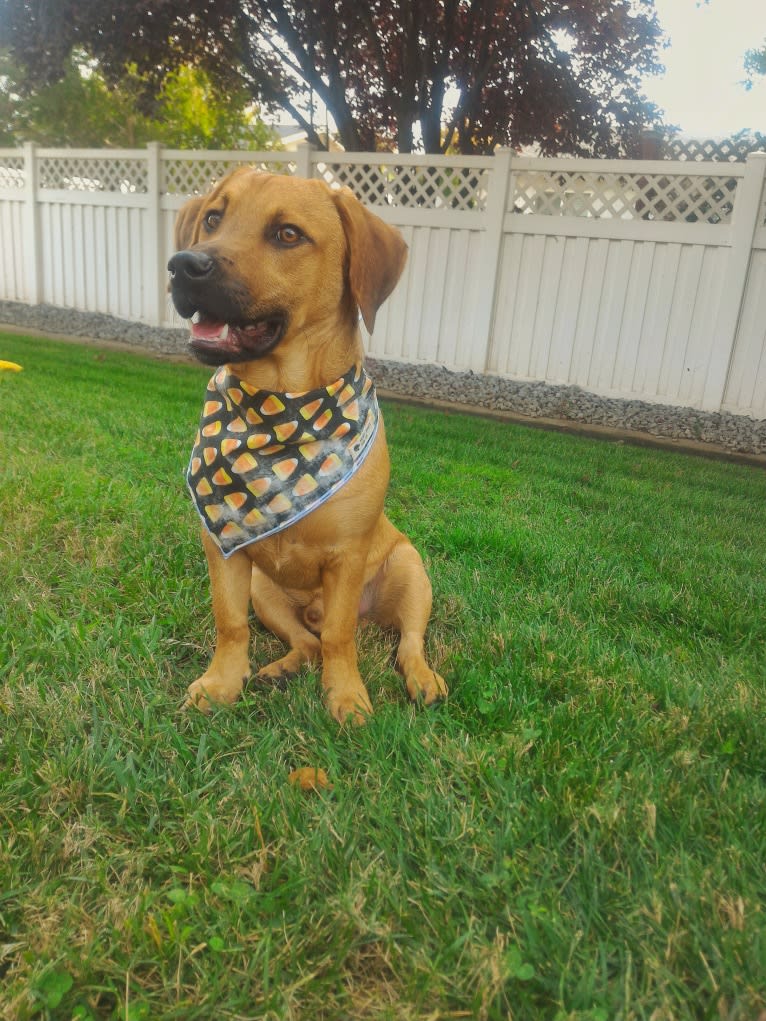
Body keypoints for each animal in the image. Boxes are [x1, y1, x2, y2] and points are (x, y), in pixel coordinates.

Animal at [167, 169, 443, 726]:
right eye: (213, 218)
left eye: (288, 234)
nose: (184, 265)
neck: (283, 405)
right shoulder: (223, 551)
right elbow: (230, 623)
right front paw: (222, 683)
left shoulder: (348, 557)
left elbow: (340, 635)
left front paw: (346, 695)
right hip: (265, 589)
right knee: (306, 640)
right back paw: (281, 668)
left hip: (411, 571)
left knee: (407, 641)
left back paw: (422, 679)